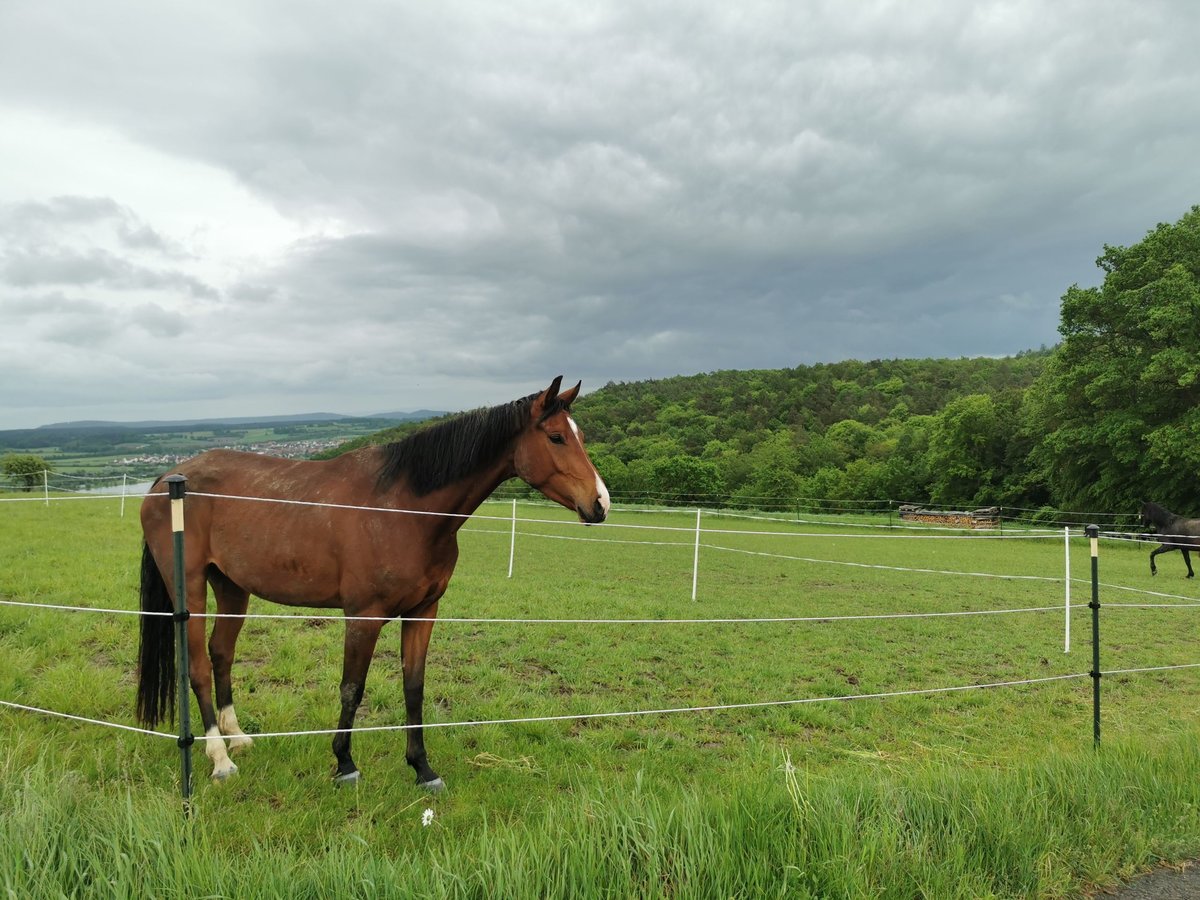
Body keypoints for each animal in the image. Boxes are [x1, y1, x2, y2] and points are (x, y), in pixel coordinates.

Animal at [137, 379, 609, 787]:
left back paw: (236, 738)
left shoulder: (423, 613)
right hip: (189, 587)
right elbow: (352, 688)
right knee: (198, 665)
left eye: (579, 434)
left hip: (232, 586)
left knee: (221, 654)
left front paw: (422, 768)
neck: (404, 508)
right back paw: (219, 758)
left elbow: (414, 687)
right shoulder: (363, 617)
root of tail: (168, 479)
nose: (600, 503)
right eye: (556, 438)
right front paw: (344, 764)